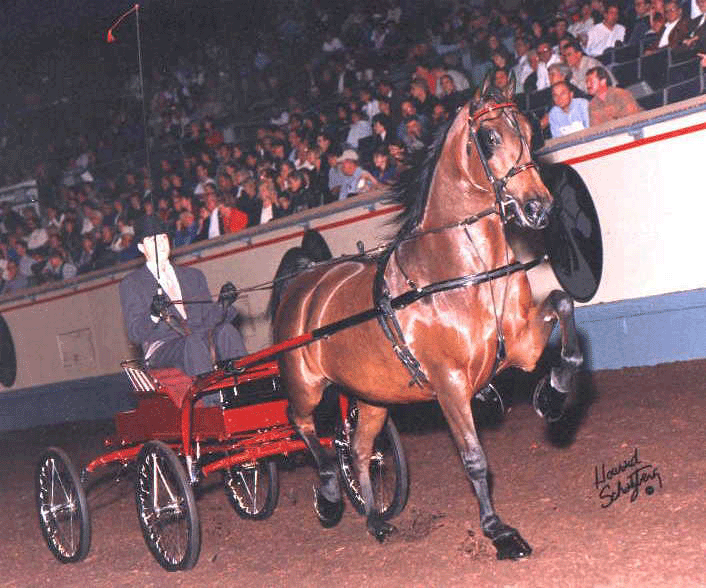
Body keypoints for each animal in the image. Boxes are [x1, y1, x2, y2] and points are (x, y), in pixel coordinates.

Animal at [270, 78, 576, 560]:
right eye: (489, 138)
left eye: (531, 131)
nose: (539, 208)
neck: (464, 271)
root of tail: (304, 285)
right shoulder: (449, 383)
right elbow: (474, 457)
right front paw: (499, 532)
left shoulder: (522, 346)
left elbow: (563, 305)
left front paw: (553, 395)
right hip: (306, 384)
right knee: (300, 423)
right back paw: (330, 496)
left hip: (372, 397)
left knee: (359, 450)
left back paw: (376, 520)